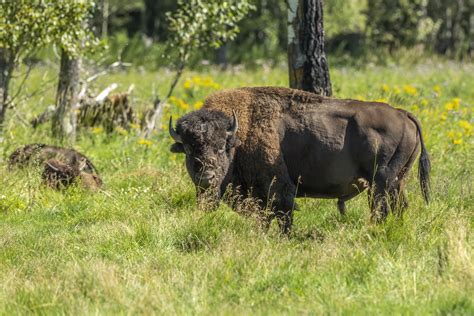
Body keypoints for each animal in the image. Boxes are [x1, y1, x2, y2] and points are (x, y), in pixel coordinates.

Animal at [169, 86, 430, 235]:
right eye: (189, 149)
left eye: (222, 147)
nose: (207, 177)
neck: (241, 131)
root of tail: (402, 114)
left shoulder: (278, 190)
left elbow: (282, 216)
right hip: (397, 182)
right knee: (398, 206)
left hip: (381, 183)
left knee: (381, 209)